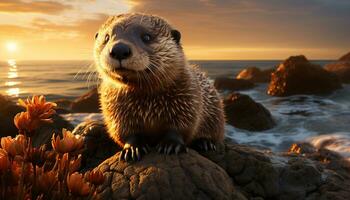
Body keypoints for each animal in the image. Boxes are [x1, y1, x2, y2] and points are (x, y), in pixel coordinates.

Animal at [93, 13, 224, 162]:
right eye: (107, 37)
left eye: (146, 37)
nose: (119, 49)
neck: (148, 105)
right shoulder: (115, 110)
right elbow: (125, 132)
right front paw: (132, 148)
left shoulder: (189, 100)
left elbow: (181, 128)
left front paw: (171, 145)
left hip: (216, 116)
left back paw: (205, 142)